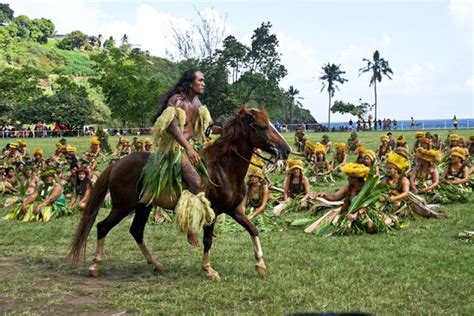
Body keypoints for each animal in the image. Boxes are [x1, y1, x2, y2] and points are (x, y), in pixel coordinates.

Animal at [68, 108, 290, 278]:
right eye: (262, 126)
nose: (286, 150)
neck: (224, 169)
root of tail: (117, 164)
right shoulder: (213, 212)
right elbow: (208, 240)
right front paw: (208, 269)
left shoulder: (235, 210)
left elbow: (253, 229)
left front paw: (260, 264)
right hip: (123, 206)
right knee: (103, 226)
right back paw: (95, 266)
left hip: (143, 206)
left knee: (136, 231)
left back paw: (156, 264)